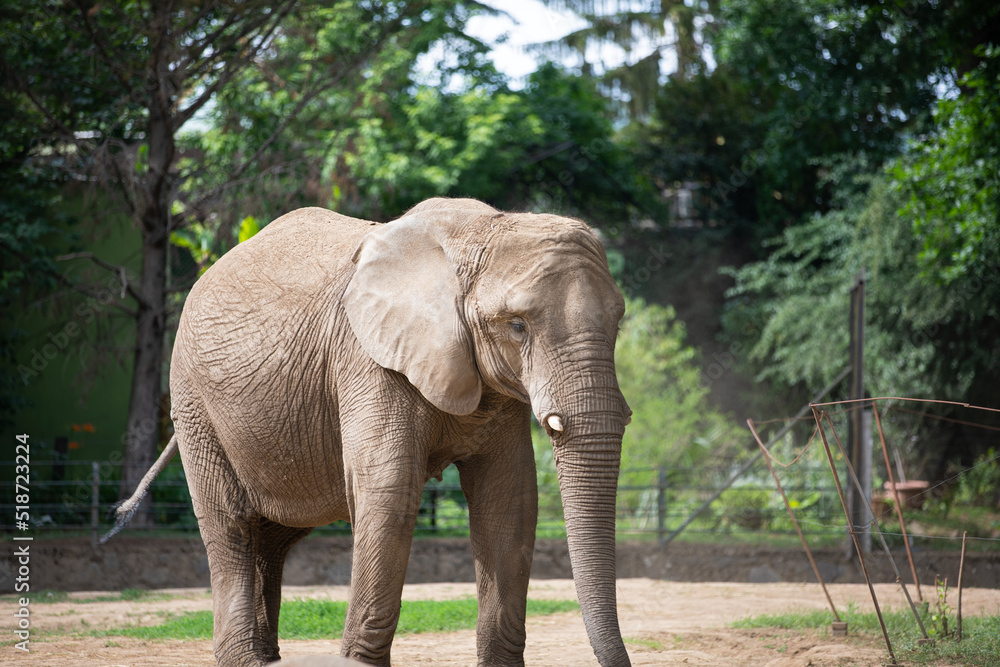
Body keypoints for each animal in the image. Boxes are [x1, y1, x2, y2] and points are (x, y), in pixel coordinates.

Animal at [108, 197, 633, 666]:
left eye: (618, 322)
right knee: (230, 526)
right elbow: (389, 491)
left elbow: (509, 501)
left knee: (272, 538)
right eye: (517, 326)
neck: (481, 229)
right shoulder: (367, 359)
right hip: (193, 399)